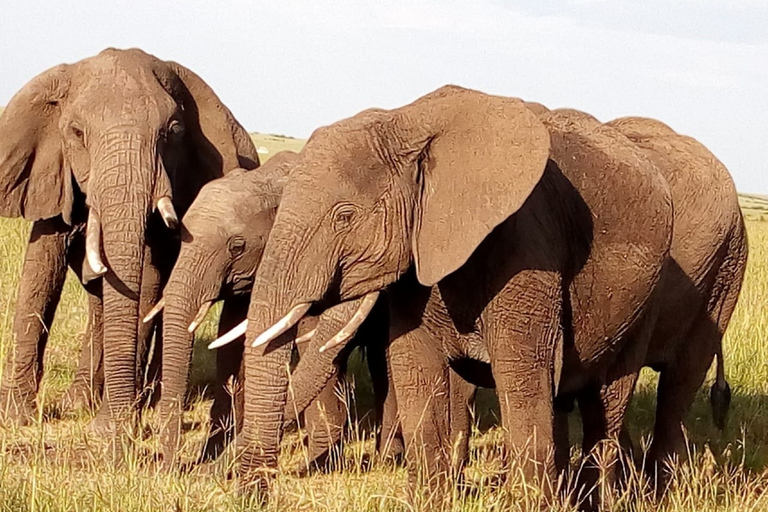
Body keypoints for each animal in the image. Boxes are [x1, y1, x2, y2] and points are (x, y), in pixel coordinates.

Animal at [0, 49, 260, 432]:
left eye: (173, 131)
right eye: (77, 132)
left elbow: (147, 281)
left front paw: (114, 425)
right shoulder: (51, 175)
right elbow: (40, 273)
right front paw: (16, 418)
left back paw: (148, 400)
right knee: (99, 300)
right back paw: (81, 403)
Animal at [208, 85, 672, 500]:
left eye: (345, 216)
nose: (249, 491)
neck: (408, 123)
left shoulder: (528, 248)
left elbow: (523, 380)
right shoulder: (418, 255)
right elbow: (414, 368)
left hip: (641, 306)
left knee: (606, 403)